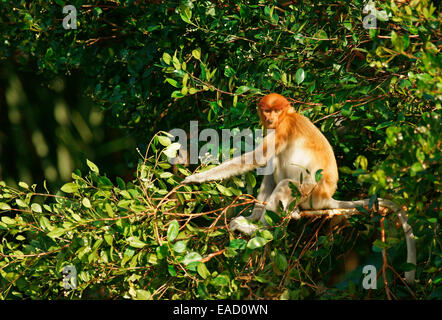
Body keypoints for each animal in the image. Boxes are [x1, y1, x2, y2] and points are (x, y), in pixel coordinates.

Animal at [181, 94, 416, 284]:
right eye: (267, 110)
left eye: (276, 111)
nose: (270, 118)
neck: (287, 116)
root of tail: (327, 197)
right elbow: (266, 163)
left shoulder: (282, 128)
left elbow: (259, 158)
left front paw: (196, 178)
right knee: (274, 168)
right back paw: (260, 218)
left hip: (309, 193)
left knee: (284, 182)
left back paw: (259, 230)